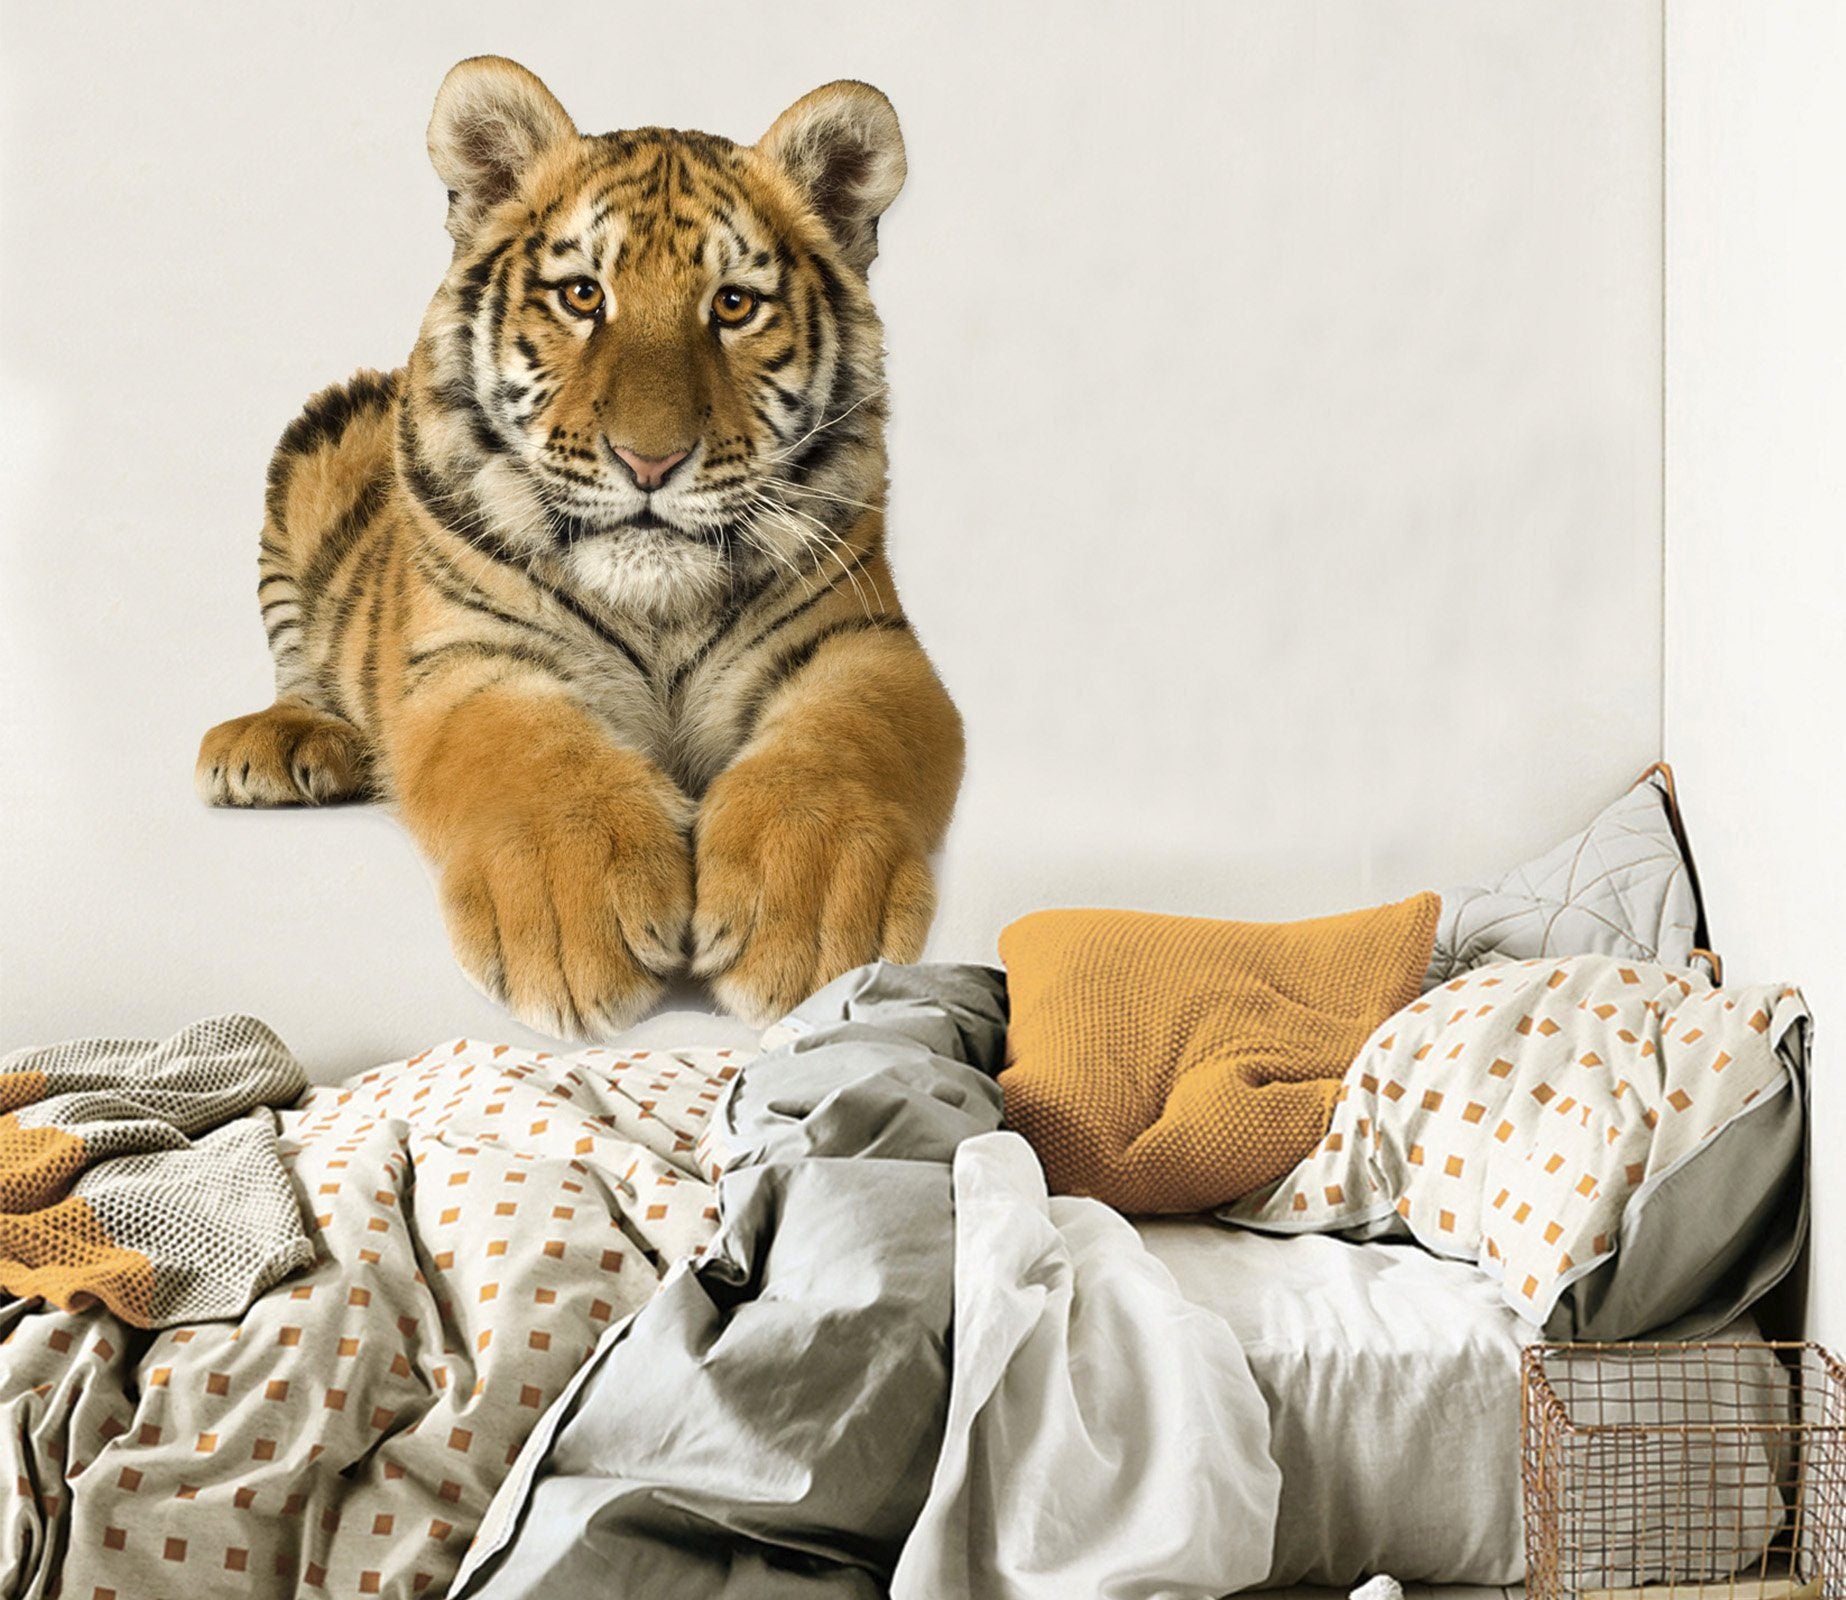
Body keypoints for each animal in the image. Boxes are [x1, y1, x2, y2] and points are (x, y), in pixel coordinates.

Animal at [195, 56, 963, 1036]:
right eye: (583, 295)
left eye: (734, 305)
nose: (650, 461)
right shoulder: (468, 658)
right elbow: (530, 757)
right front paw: (576, 911)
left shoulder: (864, 642)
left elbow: (835, 747)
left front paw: (813, 920)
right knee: (302, 665)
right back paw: (282, 746)